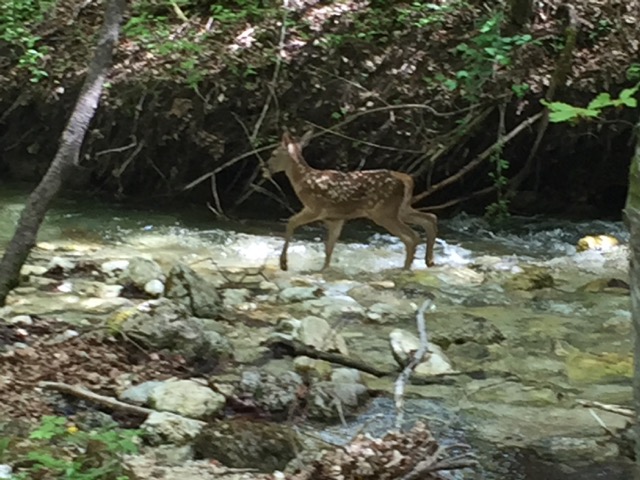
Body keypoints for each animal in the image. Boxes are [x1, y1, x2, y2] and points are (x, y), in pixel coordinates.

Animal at [262, 131, 438, 272]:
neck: (303, 180)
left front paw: (283, 263)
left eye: (273, 154)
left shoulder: (315, 208)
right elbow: (329, 247)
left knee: (412, 236)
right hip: (401, 208)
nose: (266, 168)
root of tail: (406, 179)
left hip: (384, 212)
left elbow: (291, 222)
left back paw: (406, 268)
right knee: (429, 218)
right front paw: (324, 269)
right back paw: (428, 261)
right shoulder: (335, 219)